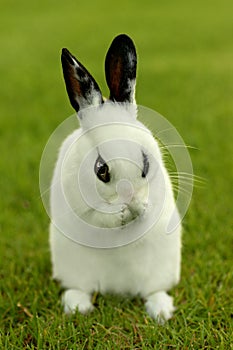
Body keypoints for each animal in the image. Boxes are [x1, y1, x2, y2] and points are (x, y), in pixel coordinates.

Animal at [50, 34, 182, 322]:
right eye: (101, 170)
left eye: (145, 162)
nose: (129, 196)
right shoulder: (82, 207)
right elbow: (99, 217)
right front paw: (120, 213)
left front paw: (138, 208)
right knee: (80, 288)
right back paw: (77, 306)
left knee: (152, 290)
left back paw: (161, 311)